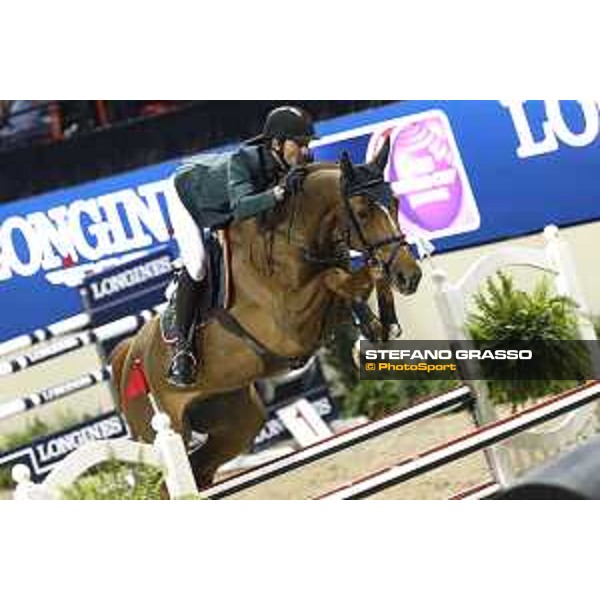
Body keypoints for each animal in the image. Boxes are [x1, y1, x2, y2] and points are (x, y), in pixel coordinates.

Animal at [110, 139, 420, 488]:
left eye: (395, 202)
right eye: (364, 212)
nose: (411, 276)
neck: (294, 241)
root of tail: (128, 356)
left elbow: (350, 286)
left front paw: (379, 326)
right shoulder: (289, 329)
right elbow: (333, 278)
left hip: (235, 419)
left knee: (202, 467)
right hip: (165, 432)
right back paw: (180, 368)